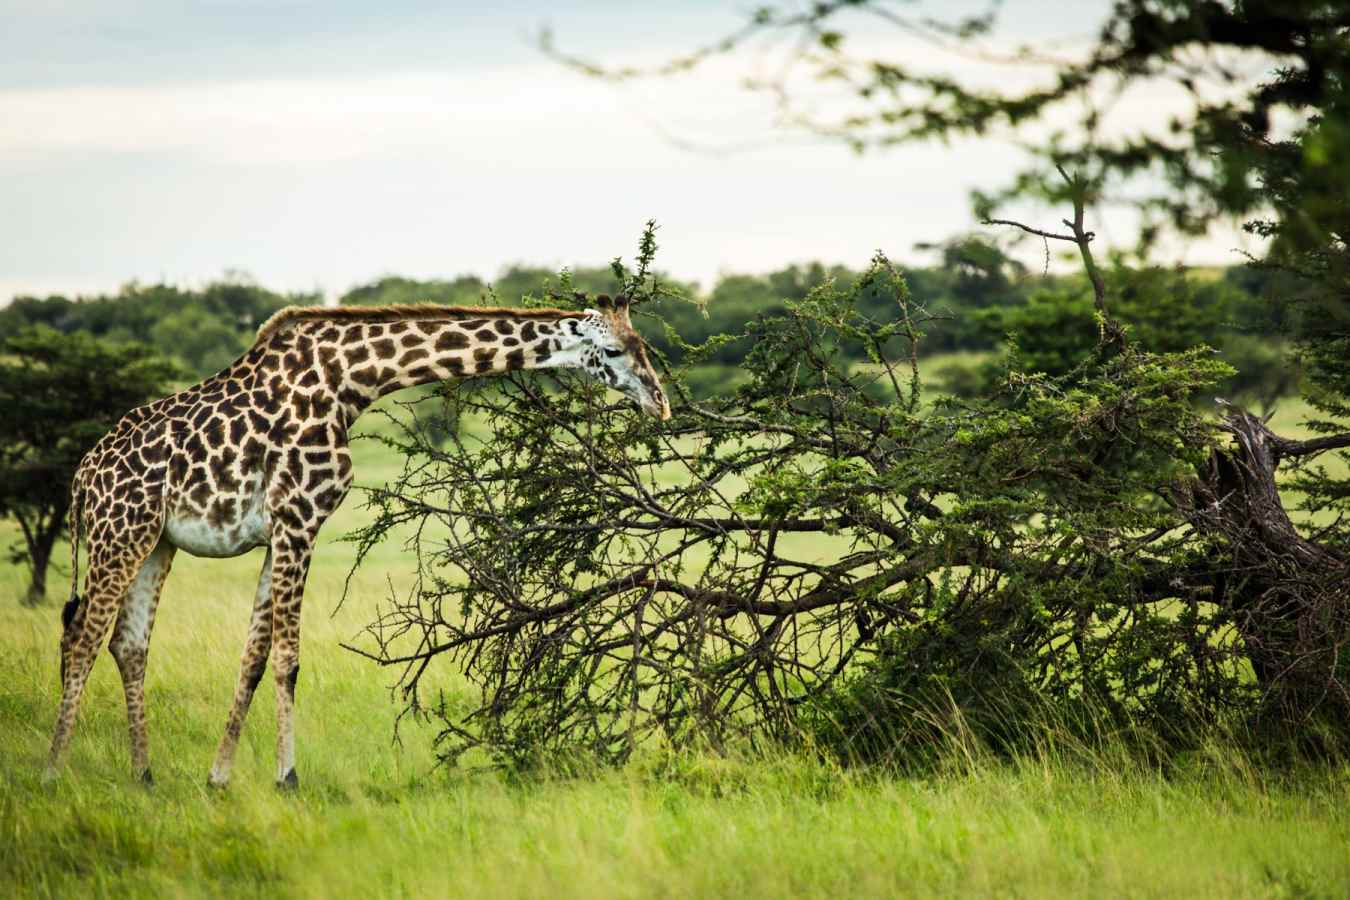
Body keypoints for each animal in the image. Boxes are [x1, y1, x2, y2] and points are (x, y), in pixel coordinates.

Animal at [46, 295, 669, 788]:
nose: (659, 402)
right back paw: (53, 771)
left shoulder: (277, 531)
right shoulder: (298, 516)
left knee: (127, 644)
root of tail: (80, 480)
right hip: (120, 532)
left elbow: (253, 657)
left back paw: (144, 776)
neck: (351, 379)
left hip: (157, 542)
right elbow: (288, 659)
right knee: (82, 637)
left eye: (644, 345)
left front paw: (218, 777)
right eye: (615, 352)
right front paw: (287, 778)